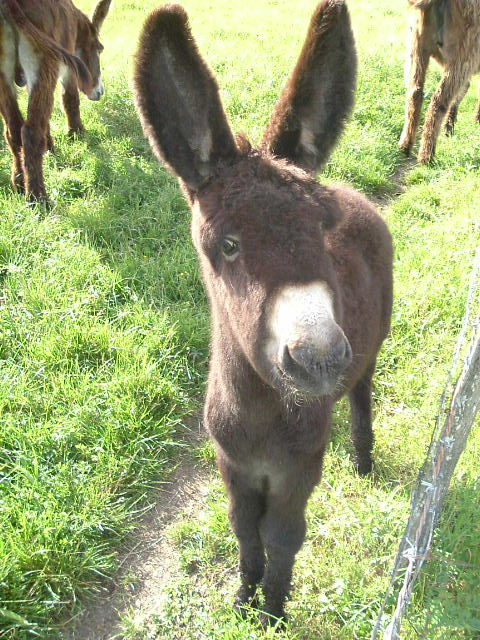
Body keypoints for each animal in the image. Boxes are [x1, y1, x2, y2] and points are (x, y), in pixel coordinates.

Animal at [133, 0, 392, 624]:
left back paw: (363, 460)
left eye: (321, 230)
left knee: (363, 392)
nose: (318, 360)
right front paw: (243, 597)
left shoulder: (297, 469)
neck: (262, 412)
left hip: (372, 347)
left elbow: (283, 536)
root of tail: (359, 196)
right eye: (227, 245)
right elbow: (244, 530)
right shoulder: (234, 464)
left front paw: (272, 611)